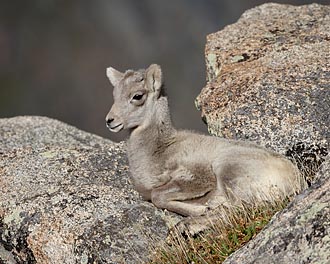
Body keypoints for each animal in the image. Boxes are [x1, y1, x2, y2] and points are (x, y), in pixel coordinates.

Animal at [105, 64, 304, 217]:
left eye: (137, 96)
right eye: (115, 95)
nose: (110, 121)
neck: (160, 148)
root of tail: (295, 179)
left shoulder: (196, 177)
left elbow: (157, 196)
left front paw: (200, 209)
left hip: (226, 168)